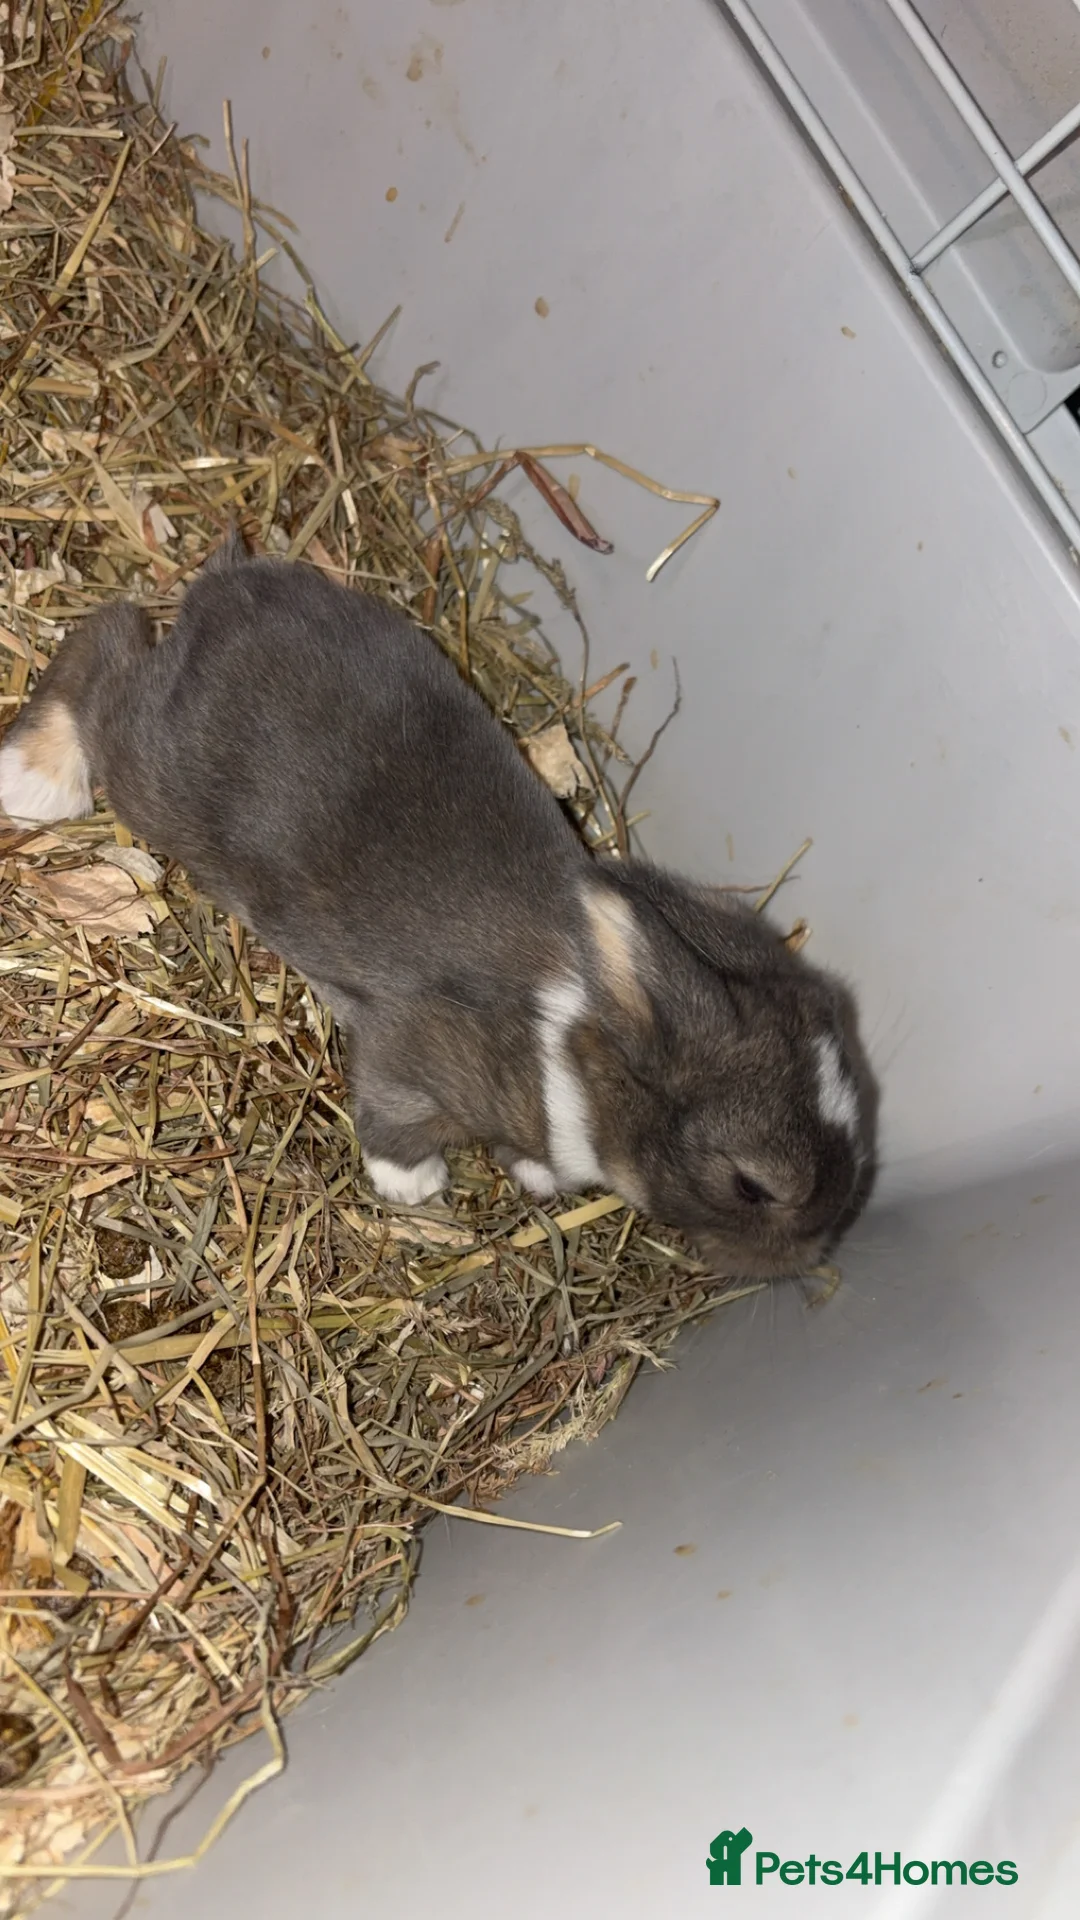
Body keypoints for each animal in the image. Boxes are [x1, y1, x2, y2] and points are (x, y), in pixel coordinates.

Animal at [0, 534, 876, 1278]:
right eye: (754, 1186)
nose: (812, 1256)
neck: (579, 1032)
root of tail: (226, 590)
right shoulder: (411, 1048)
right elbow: (394, 1110)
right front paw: (410, 1185)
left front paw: (526, 1173)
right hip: (155, 772)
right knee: (107, 641)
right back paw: (34, 778)